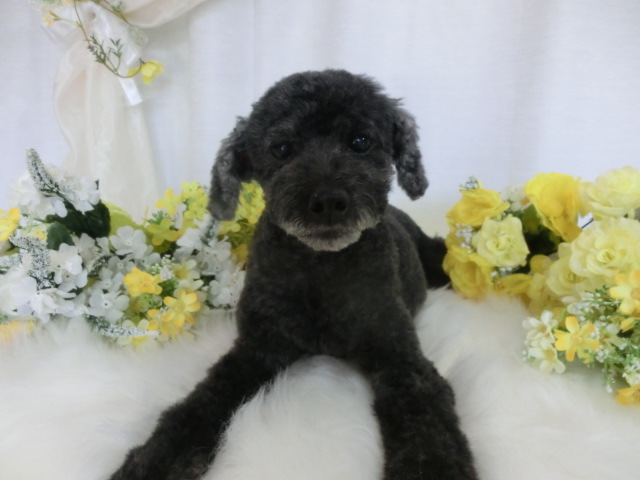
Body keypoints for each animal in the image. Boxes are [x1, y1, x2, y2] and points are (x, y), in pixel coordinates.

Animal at [108, 70, 478, 480]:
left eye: (361, 141)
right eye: (282, 149)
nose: (329, 201)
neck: (320, 267)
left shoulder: (399, 355)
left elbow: (426, 421)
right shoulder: (257, 347)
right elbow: (201, 403)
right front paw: (154, 459)